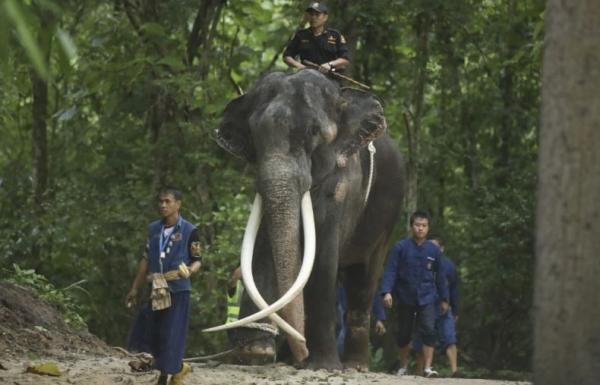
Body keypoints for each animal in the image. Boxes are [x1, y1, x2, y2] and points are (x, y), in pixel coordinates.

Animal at [209, 70, 406, 368]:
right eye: (254, 134)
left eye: (313, 132)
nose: (300, 350)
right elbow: (261, 248)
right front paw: (256, 352)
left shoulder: (344, 184)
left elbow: (323, 257)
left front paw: (323, 365)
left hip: (388, 216)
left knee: (364, 278)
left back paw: (353, 365)